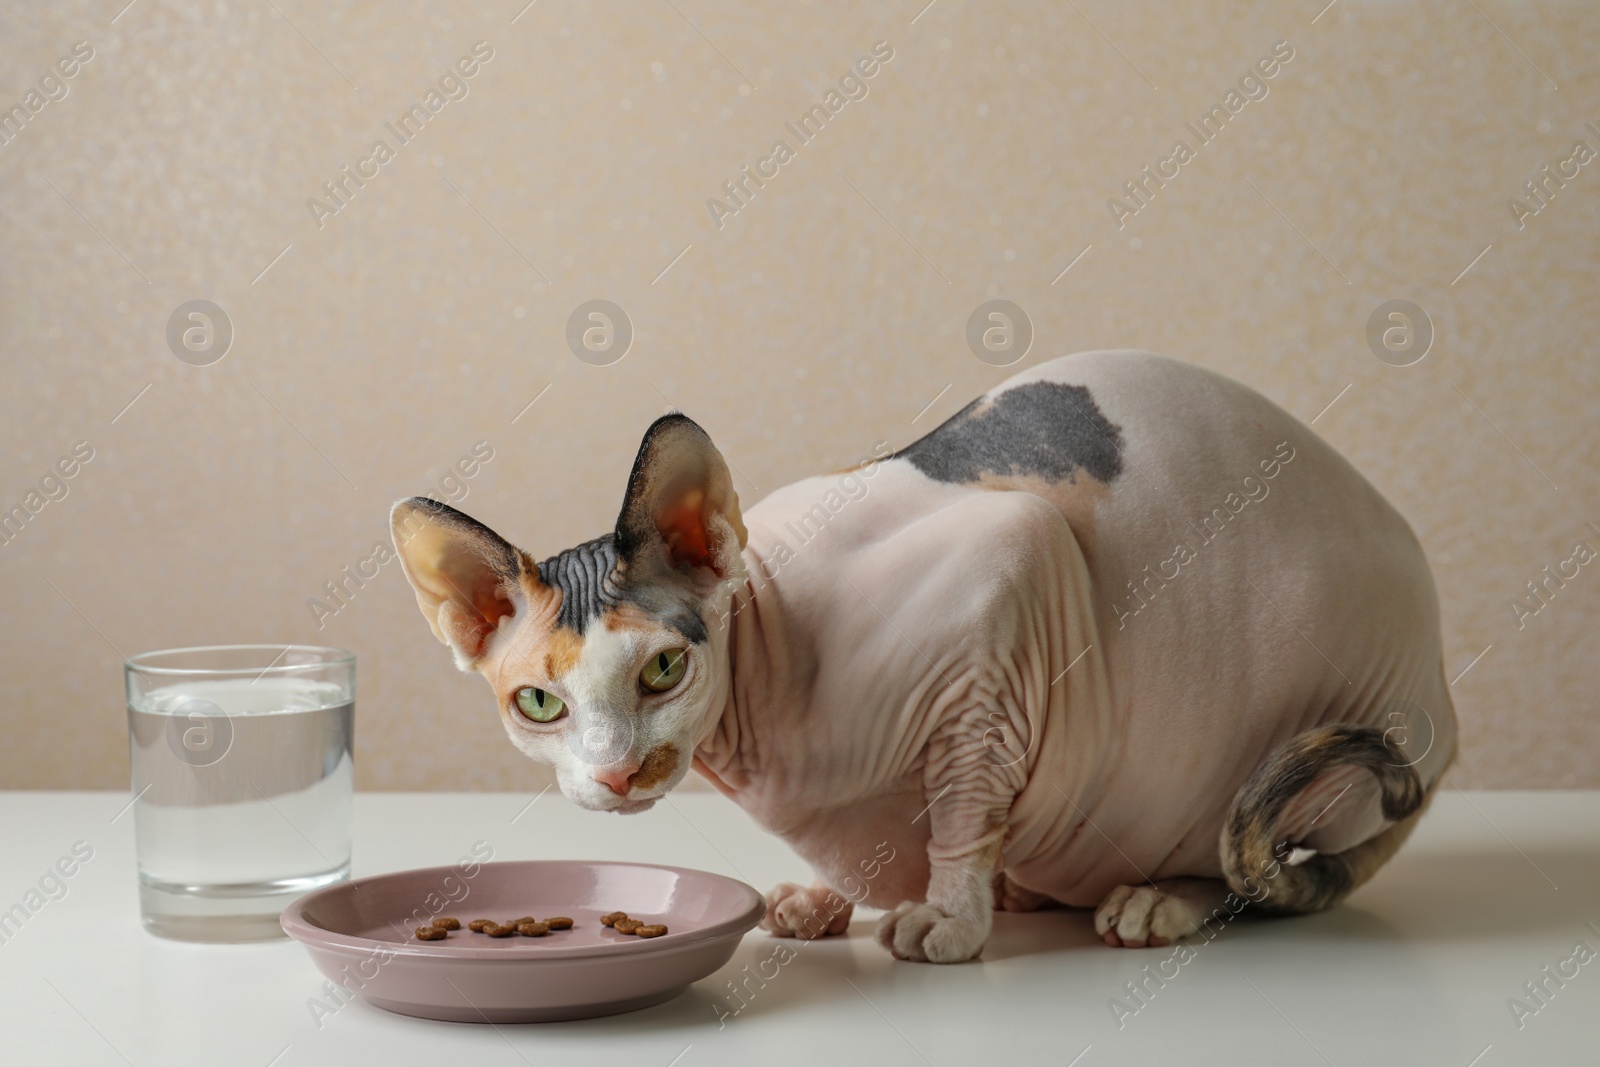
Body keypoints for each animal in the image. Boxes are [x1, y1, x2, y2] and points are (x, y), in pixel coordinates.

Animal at [393, 355, 1459, 966]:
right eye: (538, 702)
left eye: (662, 670)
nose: (616, 773)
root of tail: (1444, 711)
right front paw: (828, 896)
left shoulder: (1010, 592)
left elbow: (959, 814)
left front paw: (947, 917)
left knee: (1242, 859)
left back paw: (1159, 899)